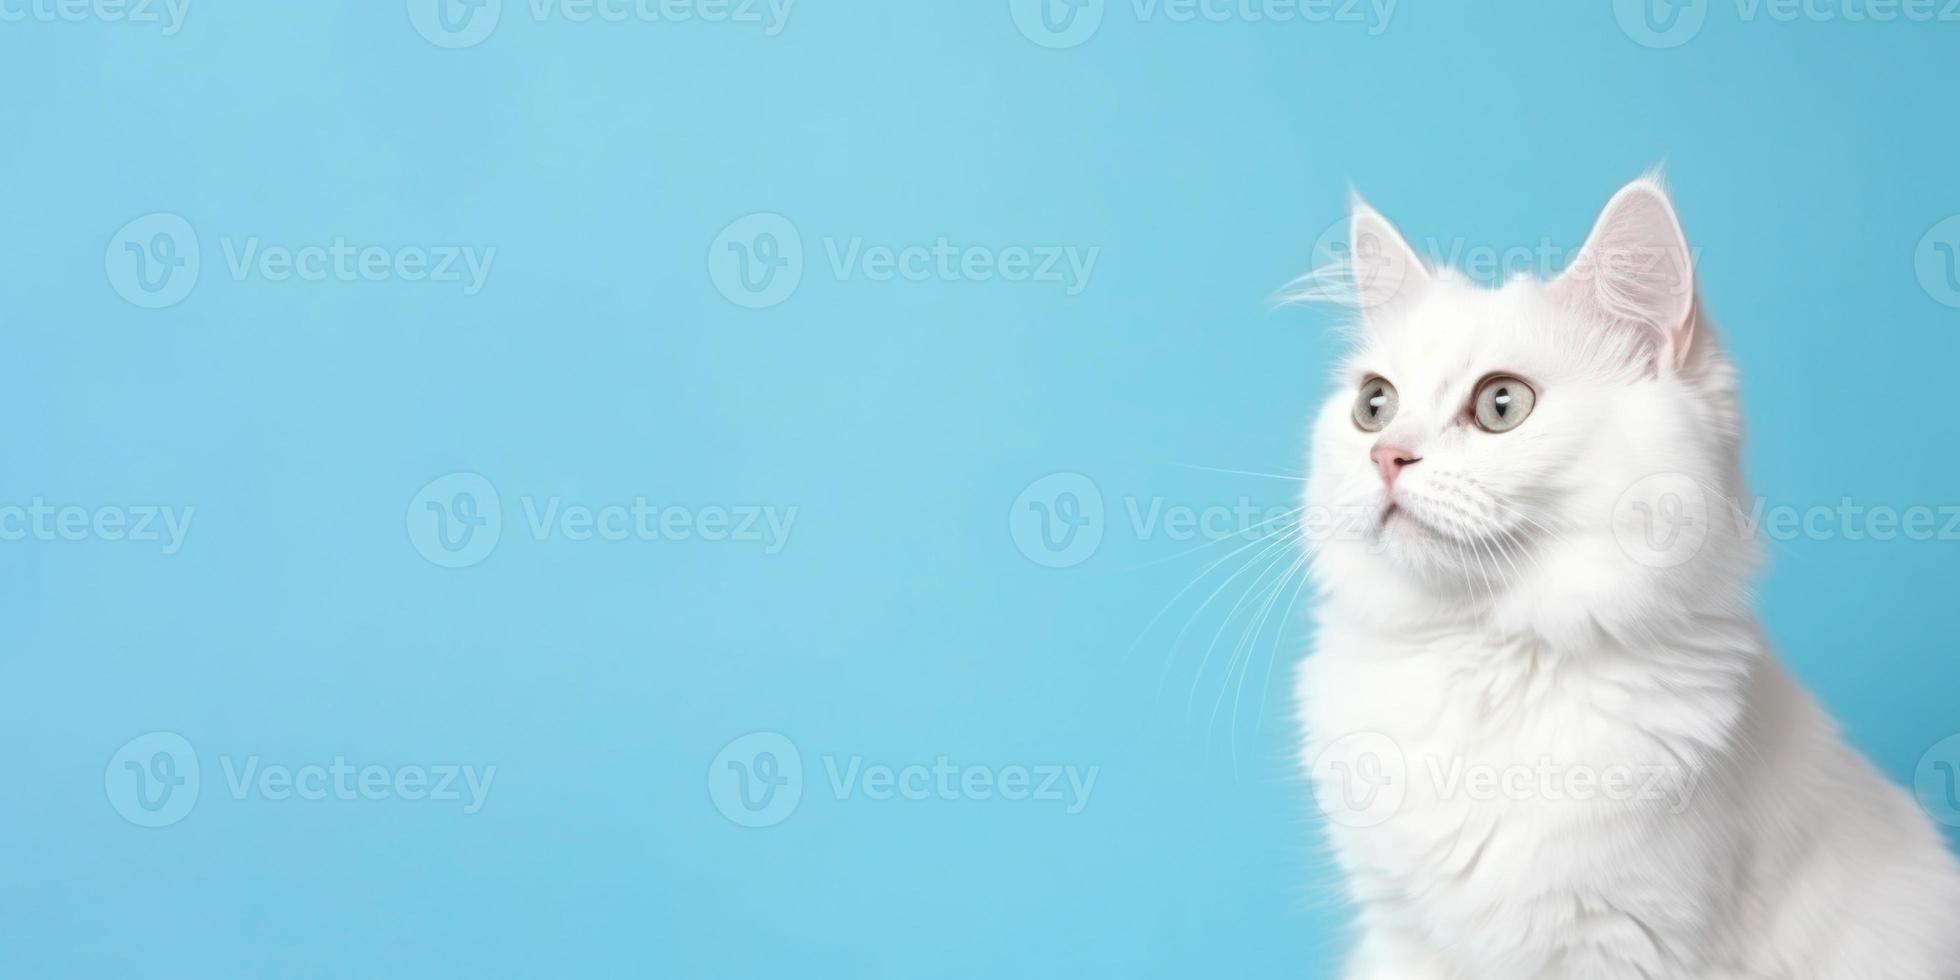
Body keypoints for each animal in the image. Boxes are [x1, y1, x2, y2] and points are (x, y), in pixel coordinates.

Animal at [1301, 178, 1960, 980]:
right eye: (1374, 406)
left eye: (1501, 404)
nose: (1385, 456)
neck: (1481, 651)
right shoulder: (1403, 937)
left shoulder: (1623, 945)